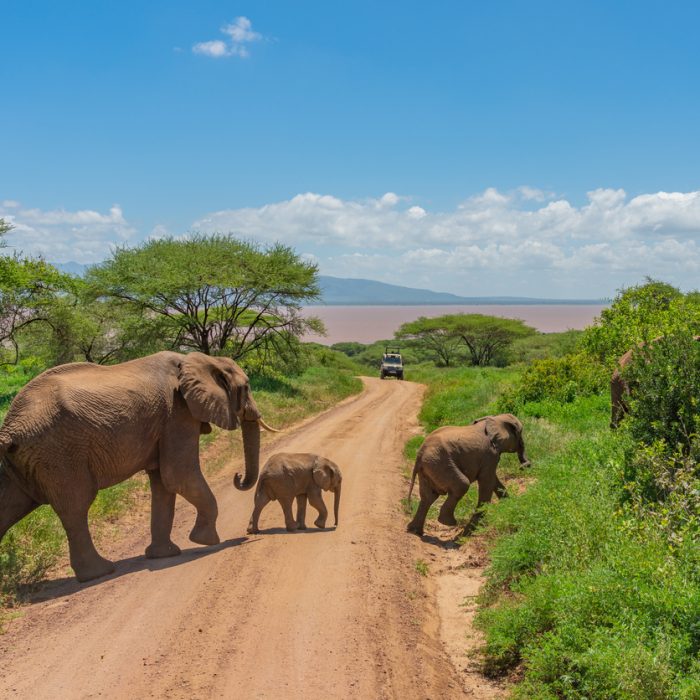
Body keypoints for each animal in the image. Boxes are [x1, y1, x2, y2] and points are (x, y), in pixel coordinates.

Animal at [0, 351, 279, 582]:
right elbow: (178, 475)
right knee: (76, 507)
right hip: (59, 454)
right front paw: (206, 542)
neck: (202, 359)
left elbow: (163, 483)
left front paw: (165, 555)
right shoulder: (177, 412)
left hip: (27, 460)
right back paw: (100, 573)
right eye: (246, 387)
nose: (238, 476)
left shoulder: (169, 419)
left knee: (11, 506)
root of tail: (10, 427)